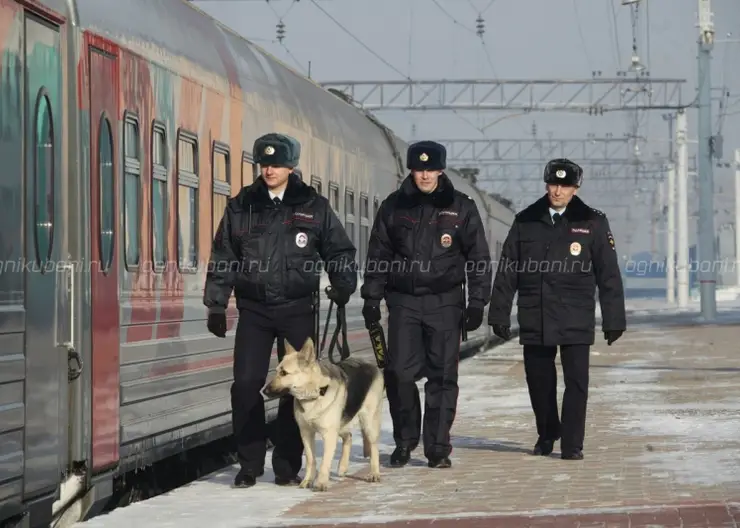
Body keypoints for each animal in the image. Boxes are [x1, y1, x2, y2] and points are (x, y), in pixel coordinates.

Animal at [264, 338, 384, 490]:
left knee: (374, 447)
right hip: (341, 424)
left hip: (368, 423)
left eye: (284, 373)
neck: (314, 394)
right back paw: (343, 466)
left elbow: (325, 462)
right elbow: (311, 459)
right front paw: (308, 481)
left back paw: (374, 473)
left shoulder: (329, 435)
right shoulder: (306, 433)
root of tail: (369, 364)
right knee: (349, 437)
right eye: (277, 371)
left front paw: (321, 483)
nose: (264, 391)